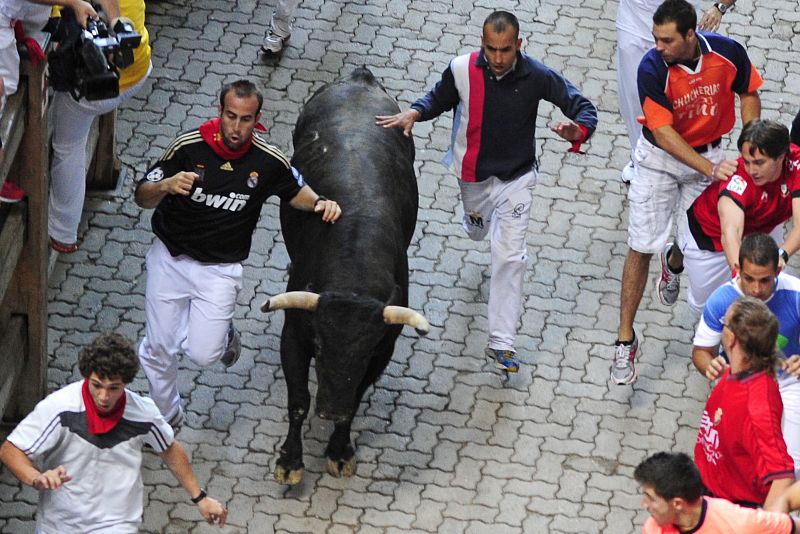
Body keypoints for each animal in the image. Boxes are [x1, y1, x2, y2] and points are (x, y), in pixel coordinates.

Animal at [260, 67, 424, 486]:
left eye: (363, 352)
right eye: (318, 345)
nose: (331, 410)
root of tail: (360, 77)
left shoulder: (383, 348)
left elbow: (356, 398)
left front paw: (339, 449)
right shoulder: (294, 334)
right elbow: (298, 402)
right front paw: (290, 461)